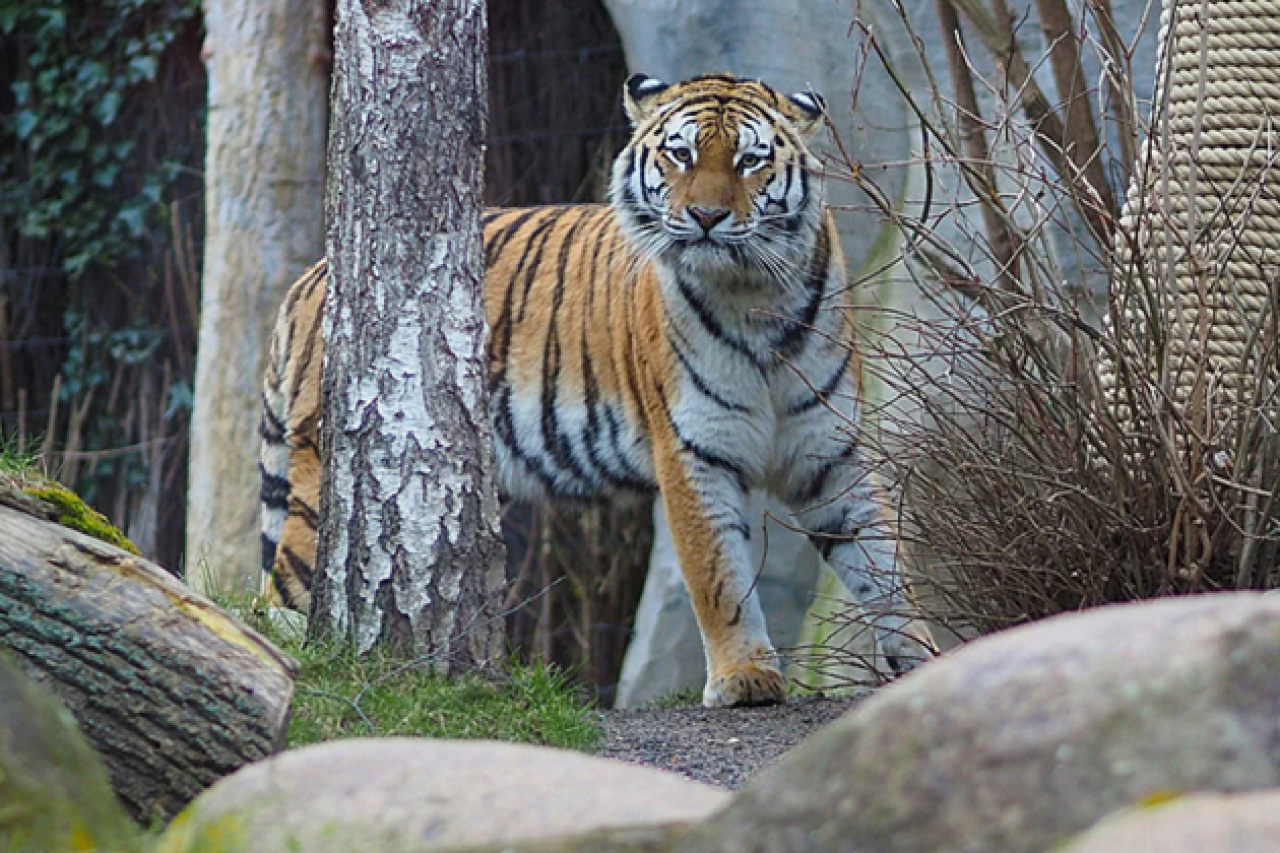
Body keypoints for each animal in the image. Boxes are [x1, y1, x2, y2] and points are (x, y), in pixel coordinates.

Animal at [260, 73, 936, 707]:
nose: (707, 218)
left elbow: (884, 564)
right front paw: (744, 677)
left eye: (750, 160)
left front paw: (922, 661)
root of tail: (313, 276)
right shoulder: (693, 451)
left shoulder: (830, 453)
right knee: (277, 591)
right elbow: (718, 575)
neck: (757, 298)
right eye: (682, 154)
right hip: (318, 490)